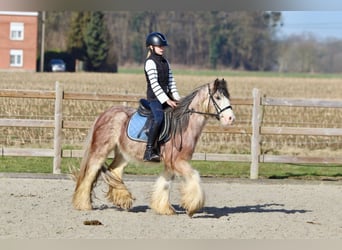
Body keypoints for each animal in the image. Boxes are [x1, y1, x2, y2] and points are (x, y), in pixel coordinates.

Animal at [72, 78, 235, 217]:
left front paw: (164, 209)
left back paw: (123, 199)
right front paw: (193, 206)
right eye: (218, 97)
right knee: (90, 174)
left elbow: (165, 184)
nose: (230, 119)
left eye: (227, 97)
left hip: (123, 154)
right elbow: (194, 176)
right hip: (101, 150)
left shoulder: (171, 163)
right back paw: (83, 204)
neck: (183, 125)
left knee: (114, 170)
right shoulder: (177, 162)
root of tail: (104, 114)